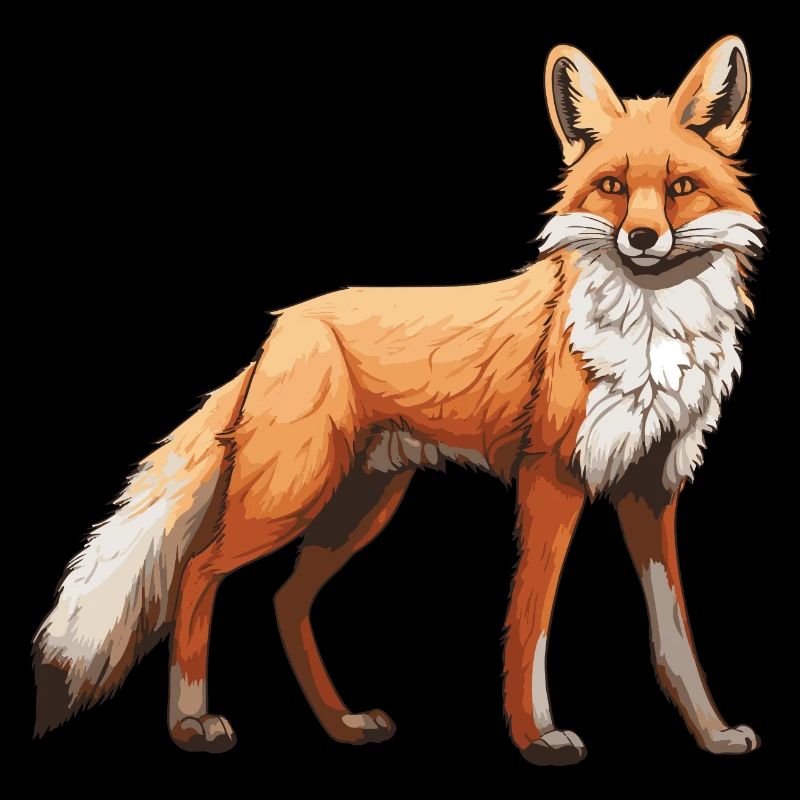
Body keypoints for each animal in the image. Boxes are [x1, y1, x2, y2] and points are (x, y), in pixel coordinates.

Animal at [33, 36, 764, 765]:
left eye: (680, 188)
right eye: (612, 186)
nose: (641, 239)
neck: (650, 336)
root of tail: (281, 326)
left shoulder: (652, 486)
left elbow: (675, 639)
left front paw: (714, 734)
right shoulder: (551, 477)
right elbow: (531, 623)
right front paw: (536, 736)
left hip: (361, 505)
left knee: (286, 600)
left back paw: (342, 724)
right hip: (290, 495)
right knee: (198, 572)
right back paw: (191, 723)